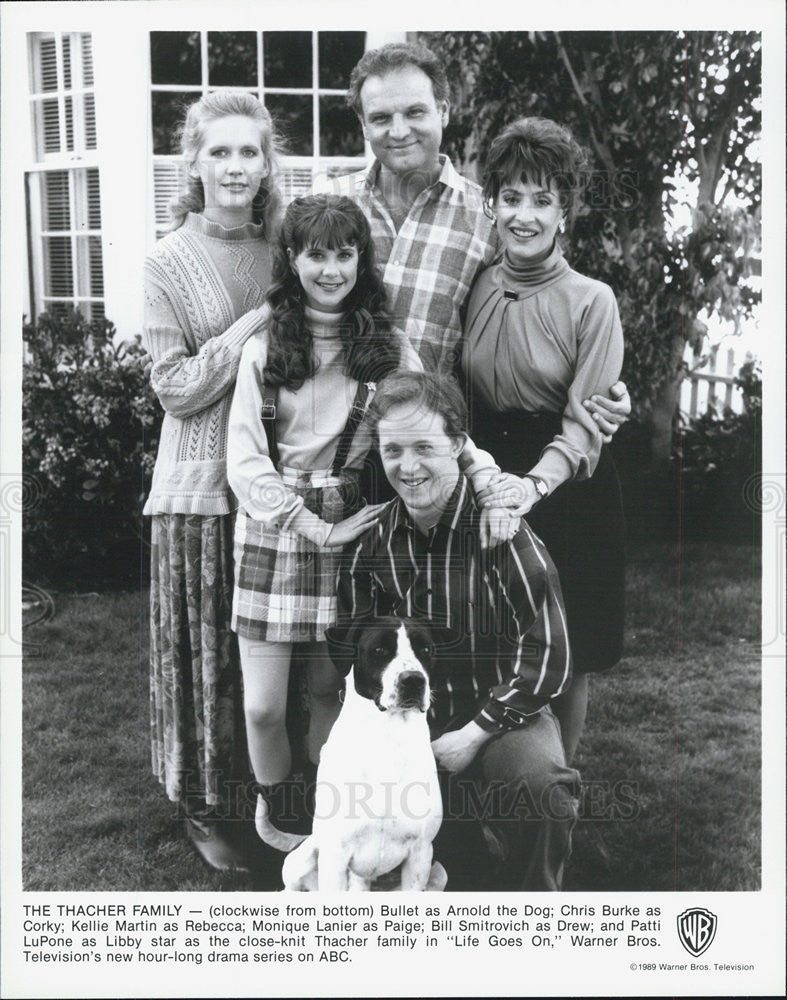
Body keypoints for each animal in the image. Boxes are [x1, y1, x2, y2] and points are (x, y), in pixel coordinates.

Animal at [255, 616, 446, 892]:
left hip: (438, 873)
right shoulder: (335, 852)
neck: (389, 740)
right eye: (379, 650)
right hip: (302, 859)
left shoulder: (420, 853)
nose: (413, 680)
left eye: (426, 650)